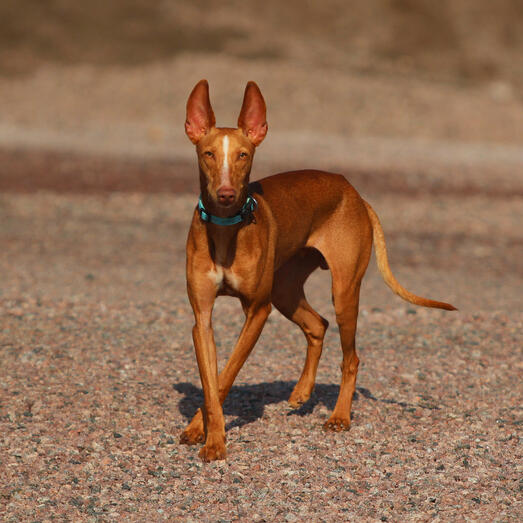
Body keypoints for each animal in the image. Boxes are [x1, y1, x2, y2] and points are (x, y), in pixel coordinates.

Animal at [179, 79, 454, 462]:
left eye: (243, 155)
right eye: (208, 154)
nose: (226, 193)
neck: (225, 229)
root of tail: (354, 192)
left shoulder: (258, 310)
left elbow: (225, 376)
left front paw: (214, 440)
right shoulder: (201, 319)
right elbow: (211, 380)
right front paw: (201, 430)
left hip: (343, 292)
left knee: (351, 357)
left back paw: (339, 416)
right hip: (286, 290)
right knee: (317, 325)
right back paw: (301, 391)